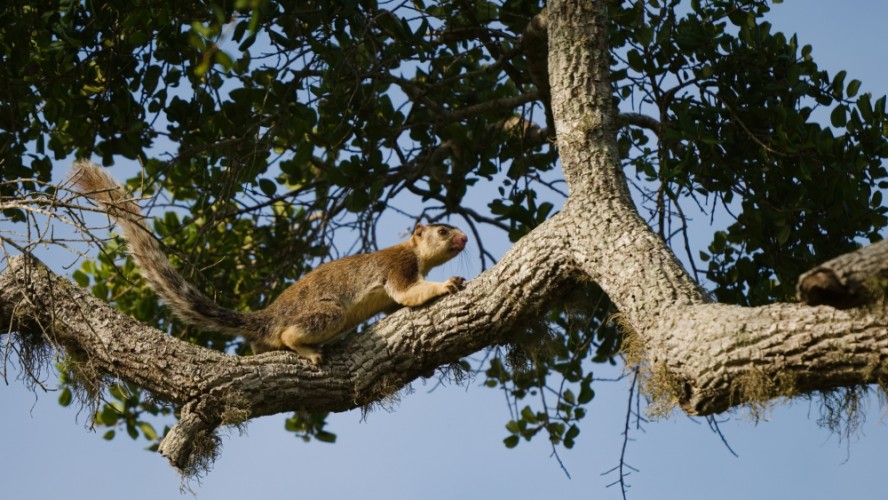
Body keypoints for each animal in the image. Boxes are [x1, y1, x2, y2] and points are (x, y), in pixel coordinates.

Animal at [73, 160, 468, 364]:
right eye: (443, 231)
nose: (464, 239)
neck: (415, 254)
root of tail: (266, 319)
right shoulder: (398, 267)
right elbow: (408, 293)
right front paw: (448, 284)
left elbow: (398, 303)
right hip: (327, 314)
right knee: (291, 333)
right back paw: (307, 350)